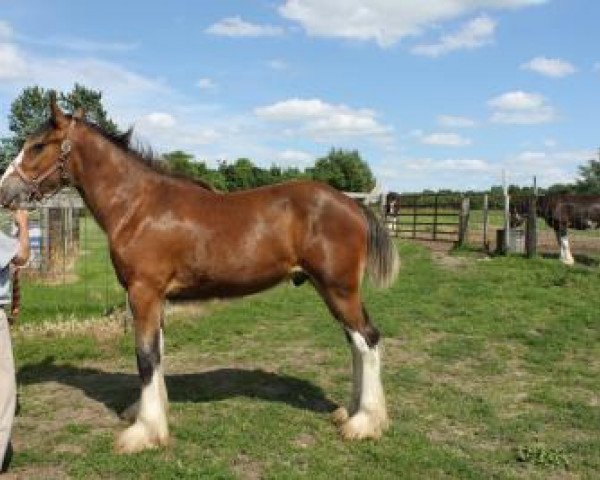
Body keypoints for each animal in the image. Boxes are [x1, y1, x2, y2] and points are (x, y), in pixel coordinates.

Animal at [0, 96, 398, 454]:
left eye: (37, 146)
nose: (5, 191)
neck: (137, 206)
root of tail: (351, 205)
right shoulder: (156, 297)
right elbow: (157, 353)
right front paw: (151, 414)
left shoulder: (143, 292)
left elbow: (145, 356)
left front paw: (144, 432)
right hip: (330, 289)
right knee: (356, 343)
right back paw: (349, 412)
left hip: (339, 289)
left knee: (367, 340)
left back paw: (364, 423)